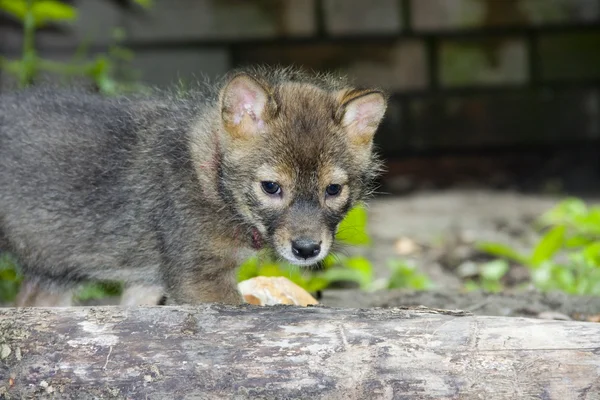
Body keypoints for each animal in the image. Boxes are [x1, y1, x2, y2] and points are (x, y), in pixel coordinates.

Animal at [0, 67, 384, 304]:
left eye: (333, 190)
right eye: (271, 187)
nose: (307, 250)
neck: (212, 181)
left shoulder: (149, 283)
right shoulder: (198, 280)